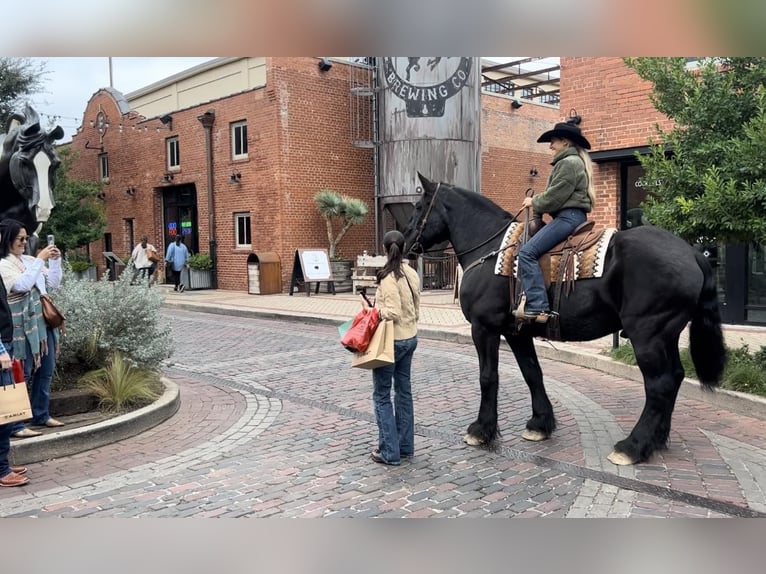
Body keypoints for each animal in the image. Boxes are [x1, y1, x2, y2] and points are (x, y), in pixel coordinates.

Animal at [404, 173, 728, 466]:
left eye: (418, 206)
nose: (401, 241)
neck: (491, 251)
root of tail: (693, 254)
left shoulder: (484, 328)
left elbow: (488, 377)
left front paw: (481, 430)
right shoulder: (517, 332)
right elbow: (532, 373)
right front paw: (540, 424)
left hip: (647, 335)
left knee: (659, 384)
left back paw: (633, 446)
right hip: (666, 335)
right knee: (674, 378)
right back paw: (656, 440)